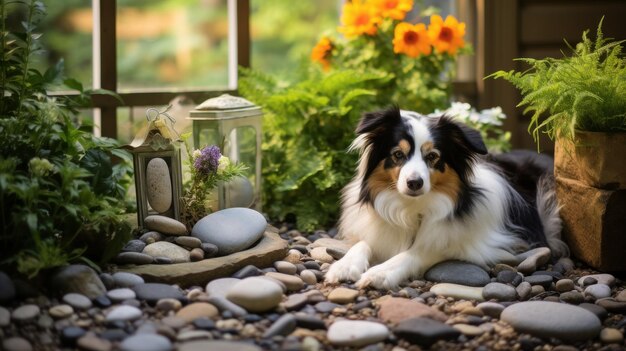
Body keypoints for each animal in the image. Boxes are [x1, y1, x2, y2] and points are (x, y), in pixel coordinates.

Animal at [324, 108, 568, 290]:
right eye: (398, 155)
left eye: (433, 156)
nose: (414, 183)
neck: (413, 207)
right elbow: (364, 242)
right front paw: (344, 266)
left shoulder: (472, 244)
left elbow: (416, 252)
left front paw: (381, 272)